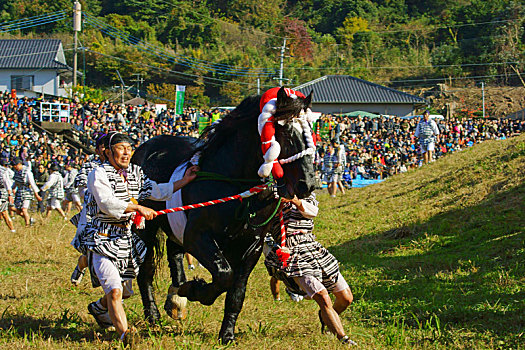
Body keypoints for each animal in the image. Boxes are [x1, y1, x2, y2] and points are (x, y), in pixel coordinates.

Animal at [133, 87, 318, 342]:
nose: (307, 183)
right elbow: (223, 274)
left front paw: (227, 333)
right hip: (146, 227)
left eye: (310, 129)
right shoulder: (197, 236)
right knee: (146, 269)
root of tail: (145, 148)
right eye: (285, 131)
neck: (236, 186)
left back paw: (176, 298)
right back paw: (153, 314)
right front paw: (196, 290)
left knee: (174, 251)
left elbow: (236, 291)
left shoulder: (251, 246)